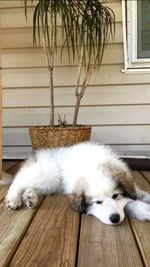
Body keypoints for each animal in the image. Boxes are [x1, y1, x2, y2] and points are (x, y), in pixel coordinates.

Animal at [3, 143, 150, 225]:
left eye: (115, 196)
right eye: (97, 202)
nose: (115, 218)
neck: (95, 165)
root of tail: (34, 157)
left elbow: (136, 194)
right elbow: (129, 202)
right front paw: (141, 208)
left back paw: (30, 197)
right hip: (48, 175)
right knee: (18, 181)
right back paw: (14, 199)